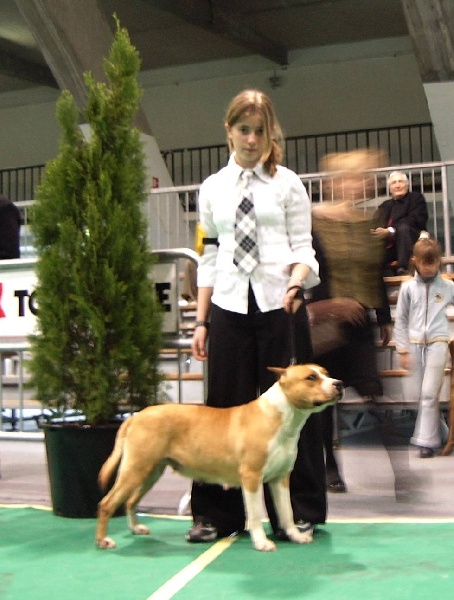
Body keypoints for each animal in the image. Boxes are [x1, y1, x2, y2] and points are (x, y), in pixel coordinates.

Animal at [95, 364, 343, 552]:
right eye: (311, 377)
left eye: (326, 372)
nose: (338, 384)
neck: (280, 416)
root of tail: (135, 416)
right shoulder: (251, 478)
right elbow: (254, 515)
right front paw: (261, 542)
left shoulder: (280, 479)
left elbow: (287, 512)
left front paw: (295, 536)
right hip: (136, 469)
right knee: (107, 503)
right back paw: (103, 540)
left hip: (150, 471)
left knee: (130, 500)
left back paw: (136, 528)